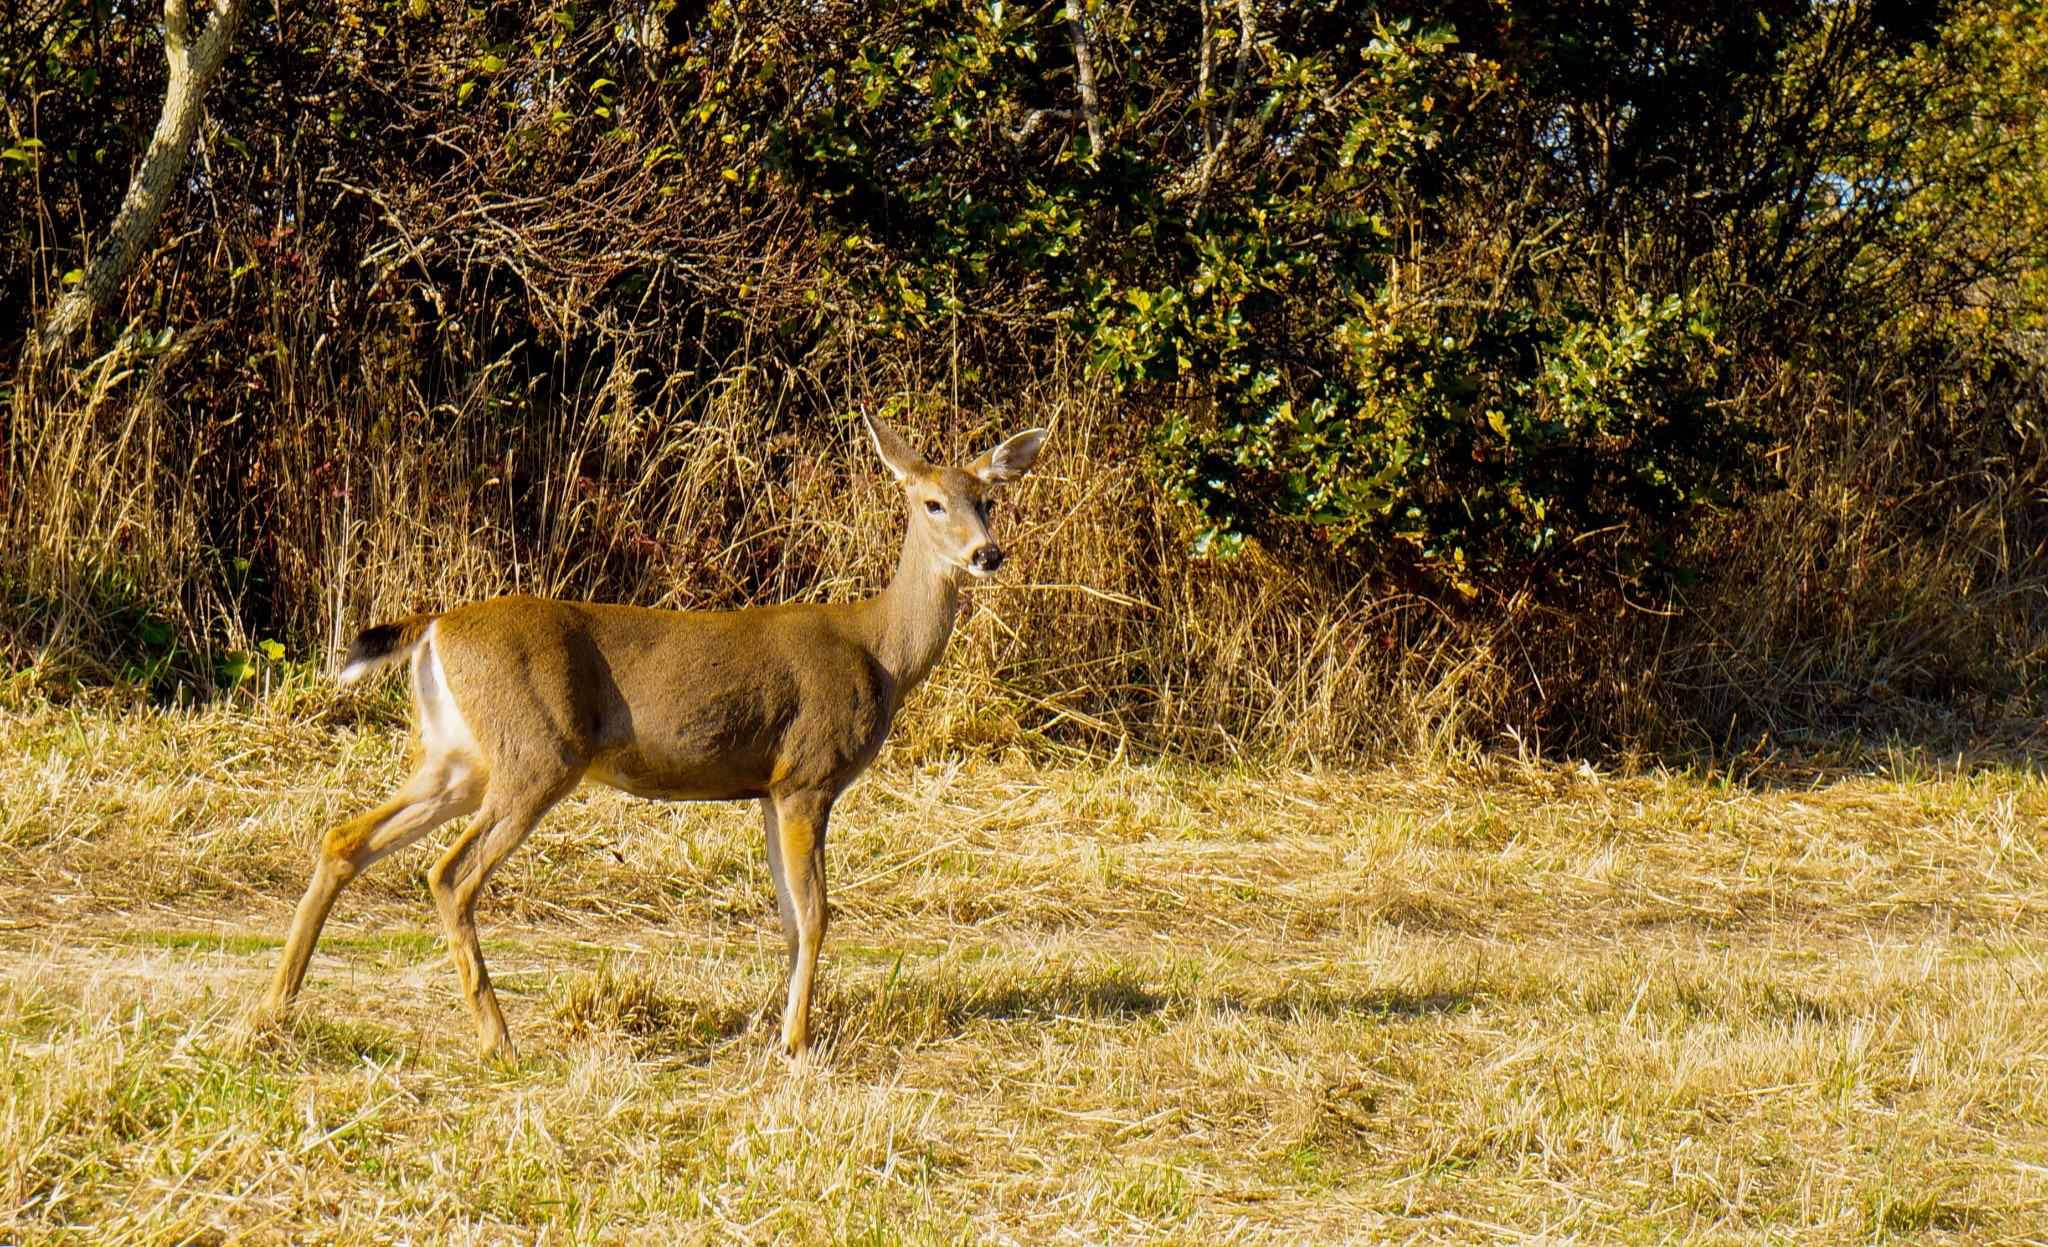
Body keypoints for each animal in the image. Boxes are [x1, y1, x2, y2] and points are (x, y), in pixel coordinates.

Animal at [256, 413, 1048, 1056]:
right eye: (932, 501)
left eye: (989, 499)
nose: (988, 554)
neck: (880, 651)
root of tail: (434, 626)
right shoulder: (809, 774)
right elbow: (818, 915)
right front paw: (796, 1043)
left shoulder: (769, 787)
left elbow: (788, 919)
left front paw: (777, 1029)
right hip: (538, 751)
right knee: (450, 872)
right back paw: (497, 1037)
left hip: (459, 755)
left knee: (346, 837)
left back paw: (276, 1005)